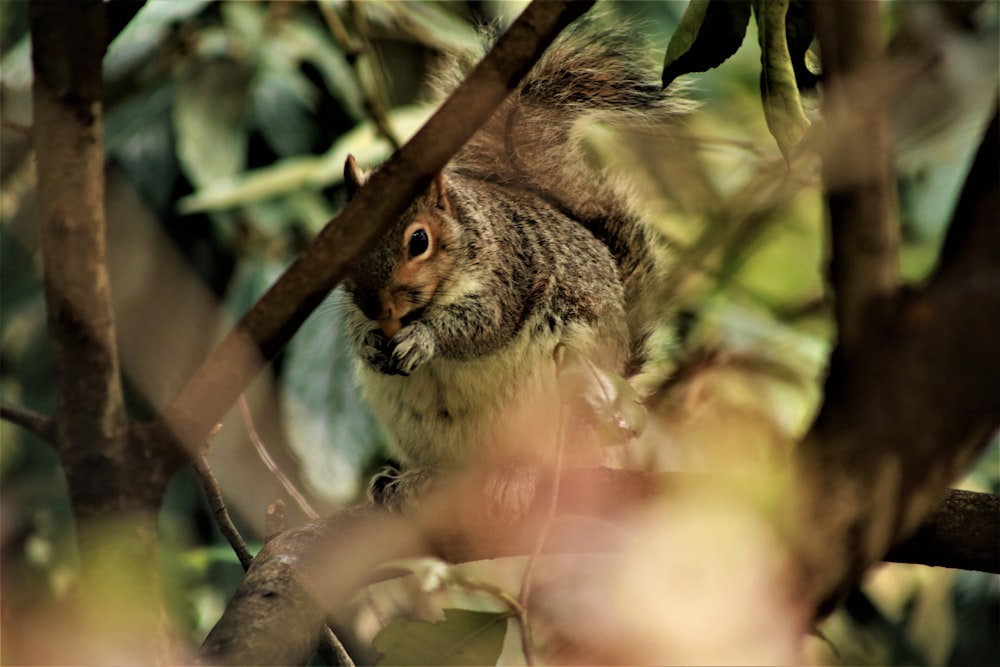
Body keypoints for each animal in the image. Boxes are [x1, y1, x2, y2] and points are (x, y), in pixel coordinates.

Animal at [342, 18, 688, 516]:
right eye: (338, 240)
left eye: (419, 241)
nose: (377, 307)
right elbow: (355, 328)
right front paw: (368, 342)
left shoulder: (508, 274)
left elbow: (480, 325)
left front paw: (424, 339)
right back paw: (409, 480)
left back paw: (519, 475)